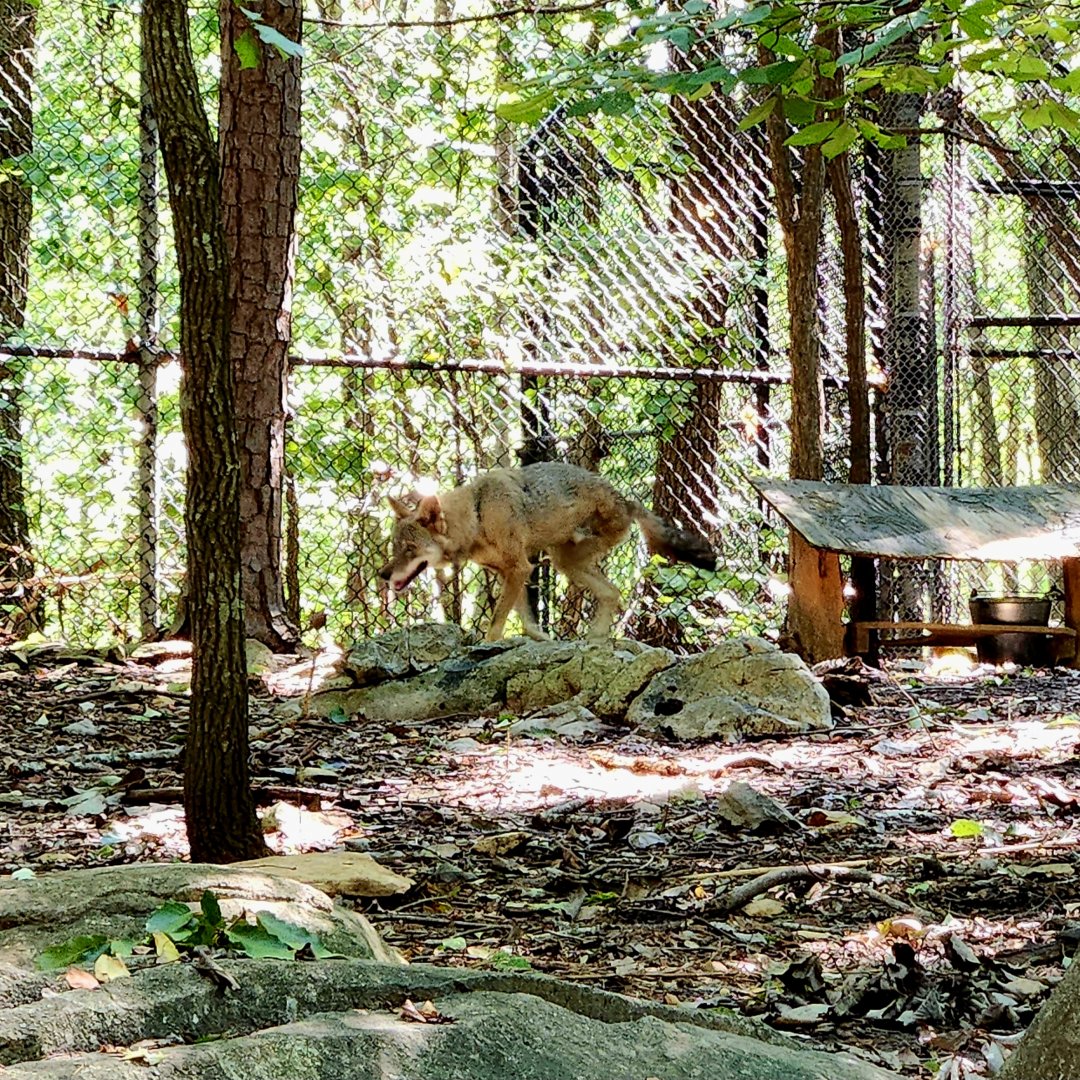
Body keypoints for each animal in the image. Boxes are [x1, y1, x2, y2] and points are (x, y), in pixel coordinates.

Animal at [378, 462, 715, 642]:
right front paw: (543, 640)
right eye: (395, 549)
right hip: (565, 563)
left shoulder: (518, 568)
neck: (478, 513)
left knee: (612, 592)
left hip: (565, 562)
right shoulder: (509, 572)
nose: (382, 574)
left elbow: (496, 624)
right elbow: (527, 620)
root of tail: (626, 501)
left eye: (409, 549)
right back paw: (594, 640)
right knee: (612, 592)